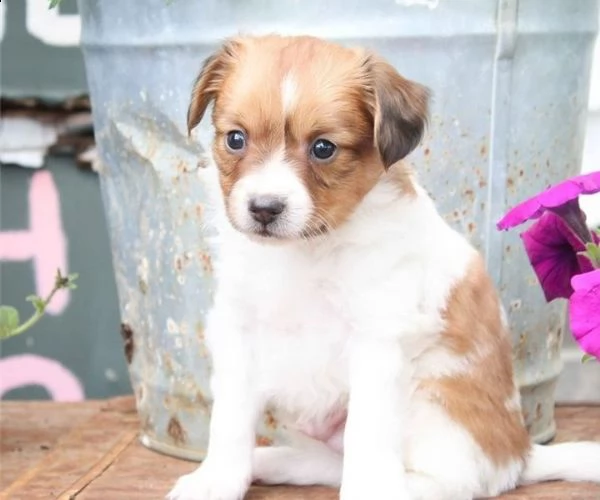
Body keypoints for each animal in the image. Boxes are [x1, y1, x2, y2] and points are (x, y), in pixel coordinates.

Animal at [165, 35, 600, 500]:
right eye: (235, 139)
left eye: (323, 148)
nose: (264, 208)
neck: (307, 250)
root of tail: (520, 454)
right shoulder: (238, 329)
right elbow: (229, 420)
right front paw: (216, 480)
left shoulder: (377, 341)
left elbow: (367, 434)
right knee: (330, 465)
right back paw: (274, 461)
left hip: (434, 407)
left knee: (447, 480)